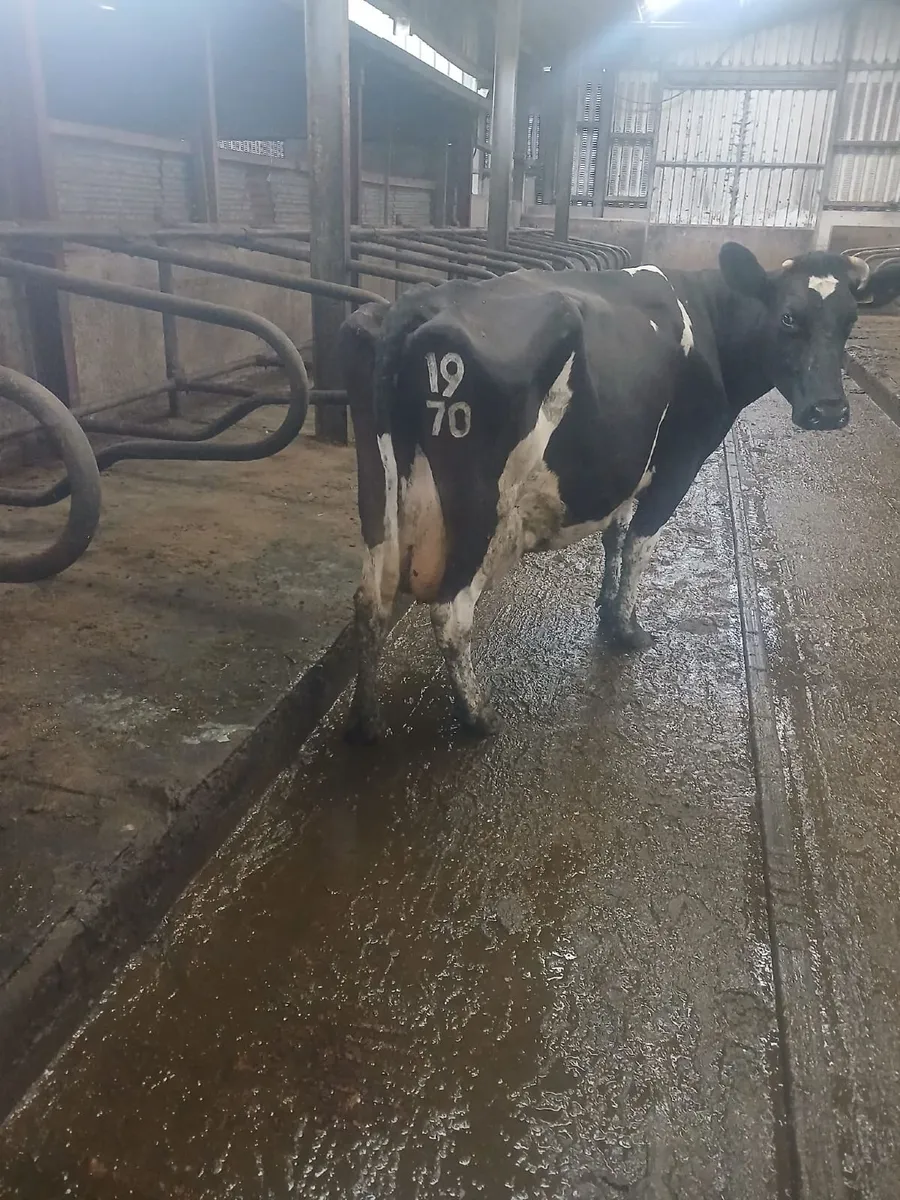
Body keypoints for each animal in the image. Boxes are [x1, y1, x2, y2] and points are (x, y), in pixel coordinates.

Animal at [339, 242, 900, 742]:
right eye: (787, 318)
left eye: (849, 321)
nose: (829, 410)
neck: (710, 321)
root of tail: (421, 300)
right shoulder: (680, 461)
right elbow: (638, 544)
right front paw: (628, 630)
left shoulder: (624, 466)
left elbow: (614, 534)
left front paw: (607, 613)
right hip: (477, 506)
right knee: (449, 611)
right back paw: (477, 717)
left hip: (378, 495)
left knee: (370, 601)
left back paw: (367, 722)